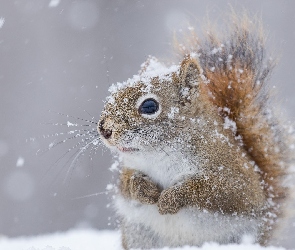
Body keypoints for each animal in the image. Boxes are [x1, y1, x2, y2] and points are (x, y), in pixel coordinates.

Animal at [97, 12, 294, 250]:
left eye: (149, 106)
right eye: (115, 92)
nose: (104, 129)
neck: (160, 153)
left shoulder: (233, 175)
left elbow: (217, 191)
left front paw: (170, 198)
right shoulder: (131, 169)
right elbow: (126, 184)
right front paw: (143, 189)